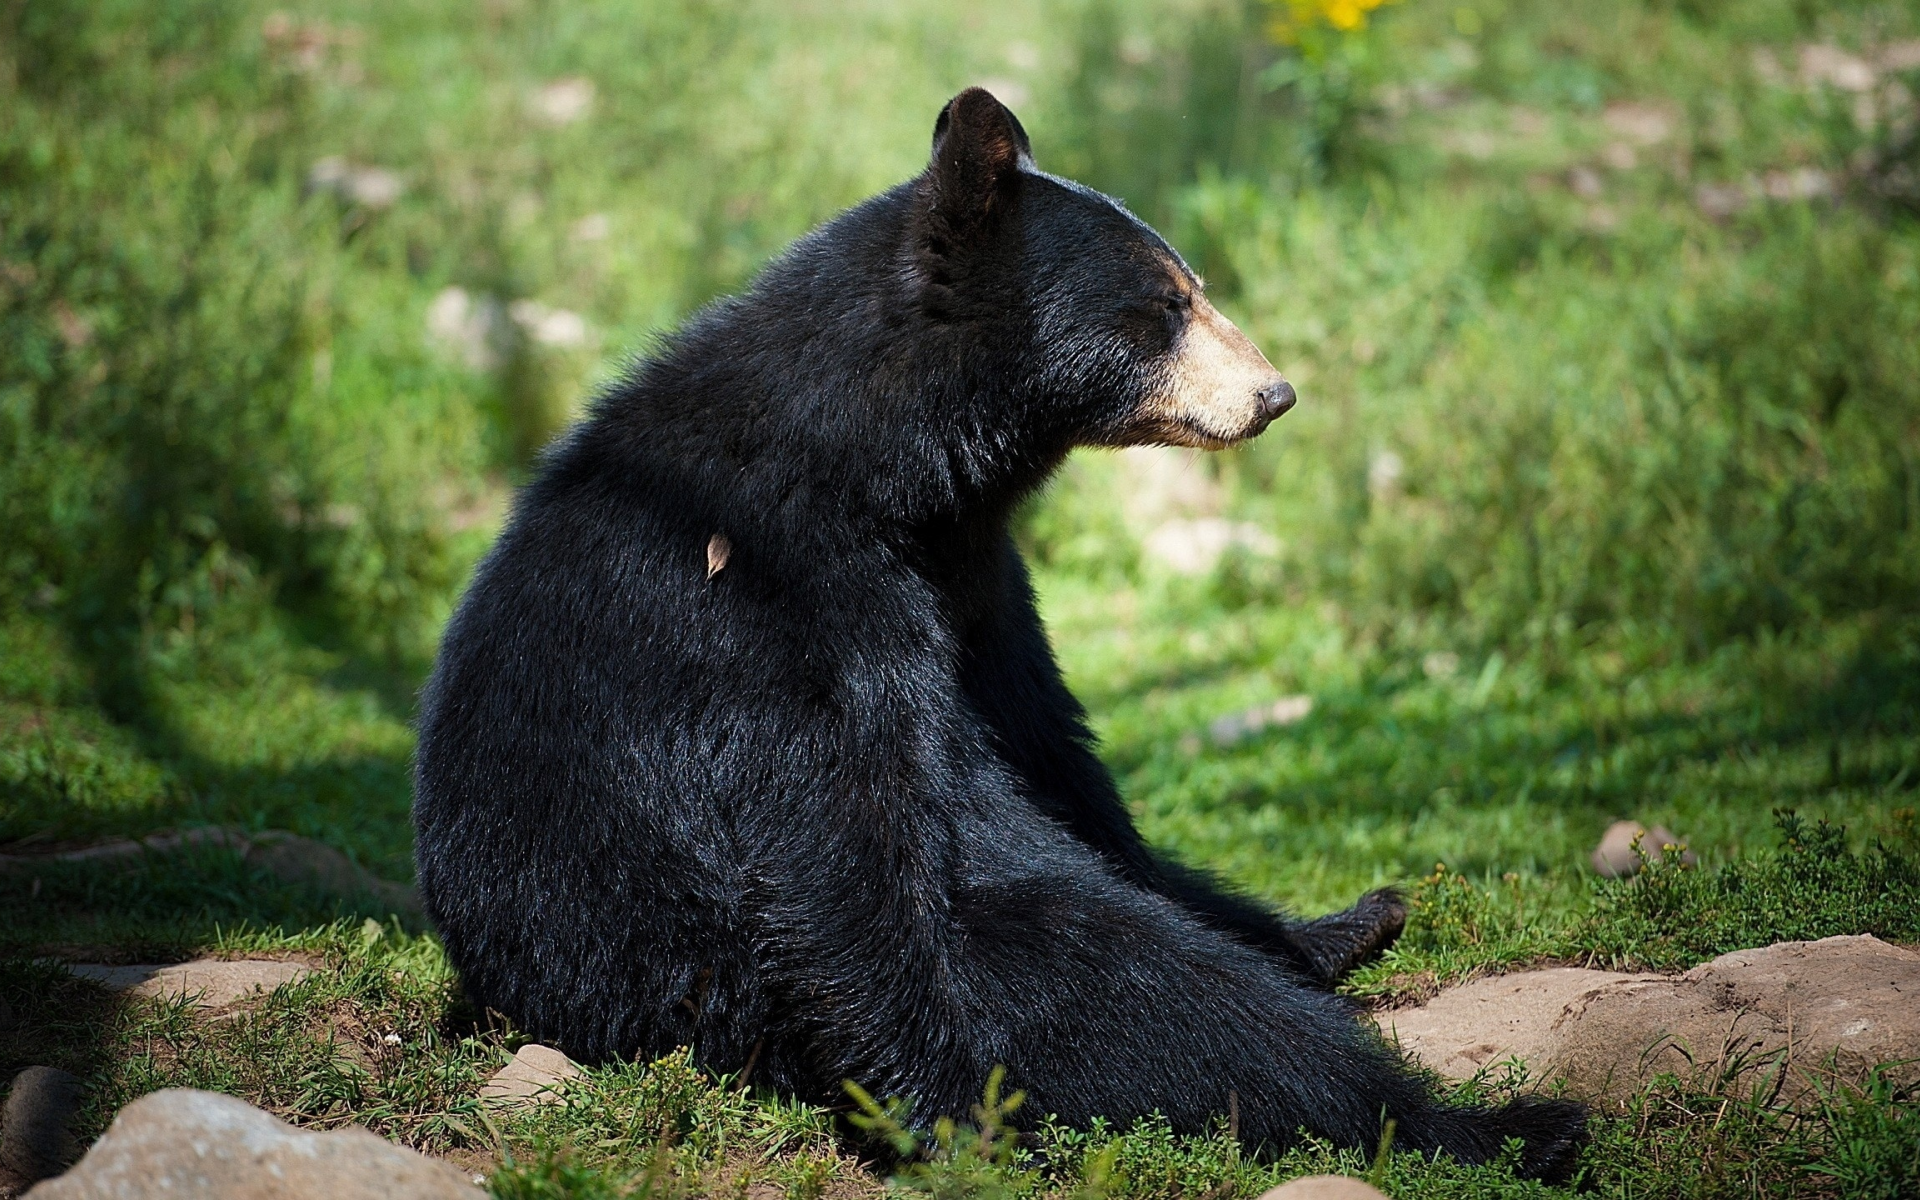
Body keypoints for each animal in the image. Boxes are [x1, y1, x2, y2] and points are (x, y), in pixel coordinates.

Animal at [416, 88, 1574, 1175]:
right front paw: (948, 1114)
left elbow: (1053, 754)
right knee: (1151, 992)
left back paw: (1352, 926)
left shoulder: (976, 583)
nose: (1273, 393)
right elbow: (839, 847)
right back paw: (1497, 1122)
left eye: (1192, 285)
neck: (891, 470)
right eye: (1167, 303)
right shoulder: (774, 602)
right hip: (699, 980)